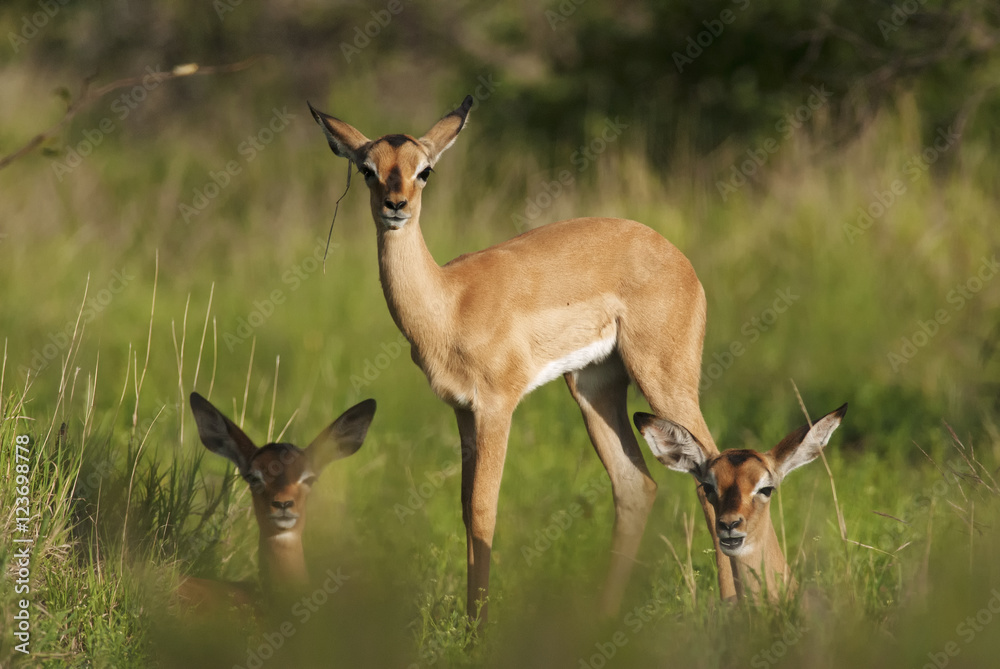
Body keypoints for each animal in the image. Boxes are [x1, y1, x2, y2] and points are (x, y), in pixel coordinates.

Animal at [308, 95, 739, 623]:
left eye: (424, 170)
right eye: (367, 169)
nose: (396, 206)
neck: (449, 302)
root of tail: (679, 259)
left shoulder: (497, 407)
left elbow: (484, 510)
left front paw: (478, 627)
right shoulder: (463, 412)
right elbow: (466, 509)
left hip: (664, 380)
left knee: (707, 473)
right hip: (593, 388)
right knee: (636, 486)